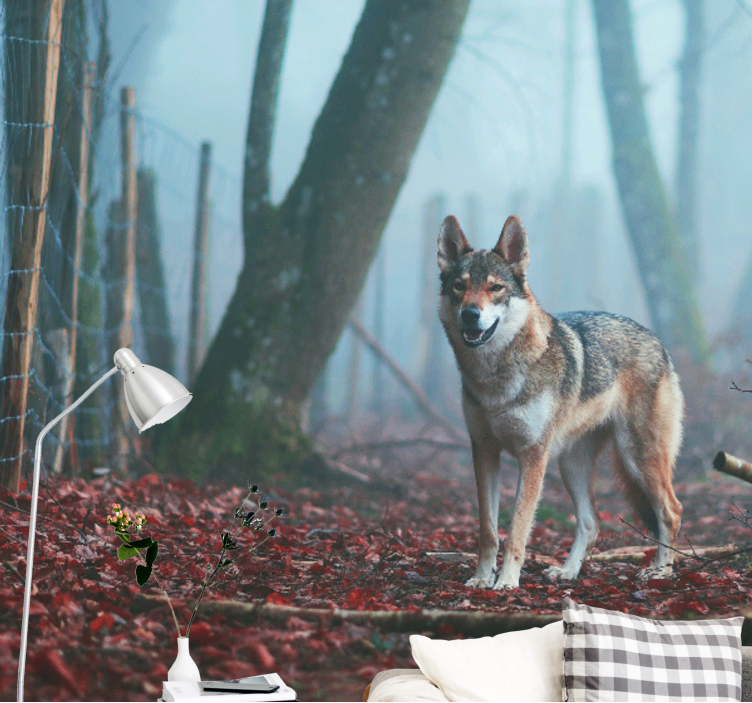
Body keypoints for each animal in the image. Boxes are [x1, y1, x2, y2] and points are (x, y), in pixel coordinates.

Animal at [437, 214, 683, 590]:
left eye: (496, 288)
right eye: (459, 286)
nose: (470, 314)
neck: (495, 377)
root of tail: (657, 341)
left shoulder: (533, 456)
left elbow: (517, 530)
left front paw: (506, 582)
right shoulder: (484, 451)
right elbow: (488, 531)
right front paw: (482, 578)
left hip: (637, 457)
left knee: (671, 511)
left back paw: (660, 571)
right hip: (573, 465)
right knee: (591, 521)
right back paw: (567, 572)